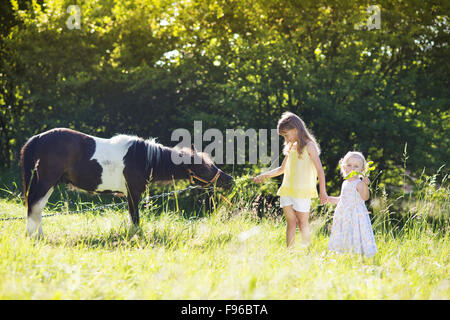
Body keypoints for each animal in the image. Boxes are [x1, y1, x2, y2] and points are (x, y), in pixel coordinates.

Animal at [20, 128, 236, 238]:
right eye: (206, 168)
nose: (230, 180)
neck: (144, 157)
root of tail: (37, 138)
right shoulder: (133, 193)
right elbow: (135, 218)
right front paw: (136, 237)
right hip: (45, 182)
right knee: (34, 208)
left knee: (36, 209)